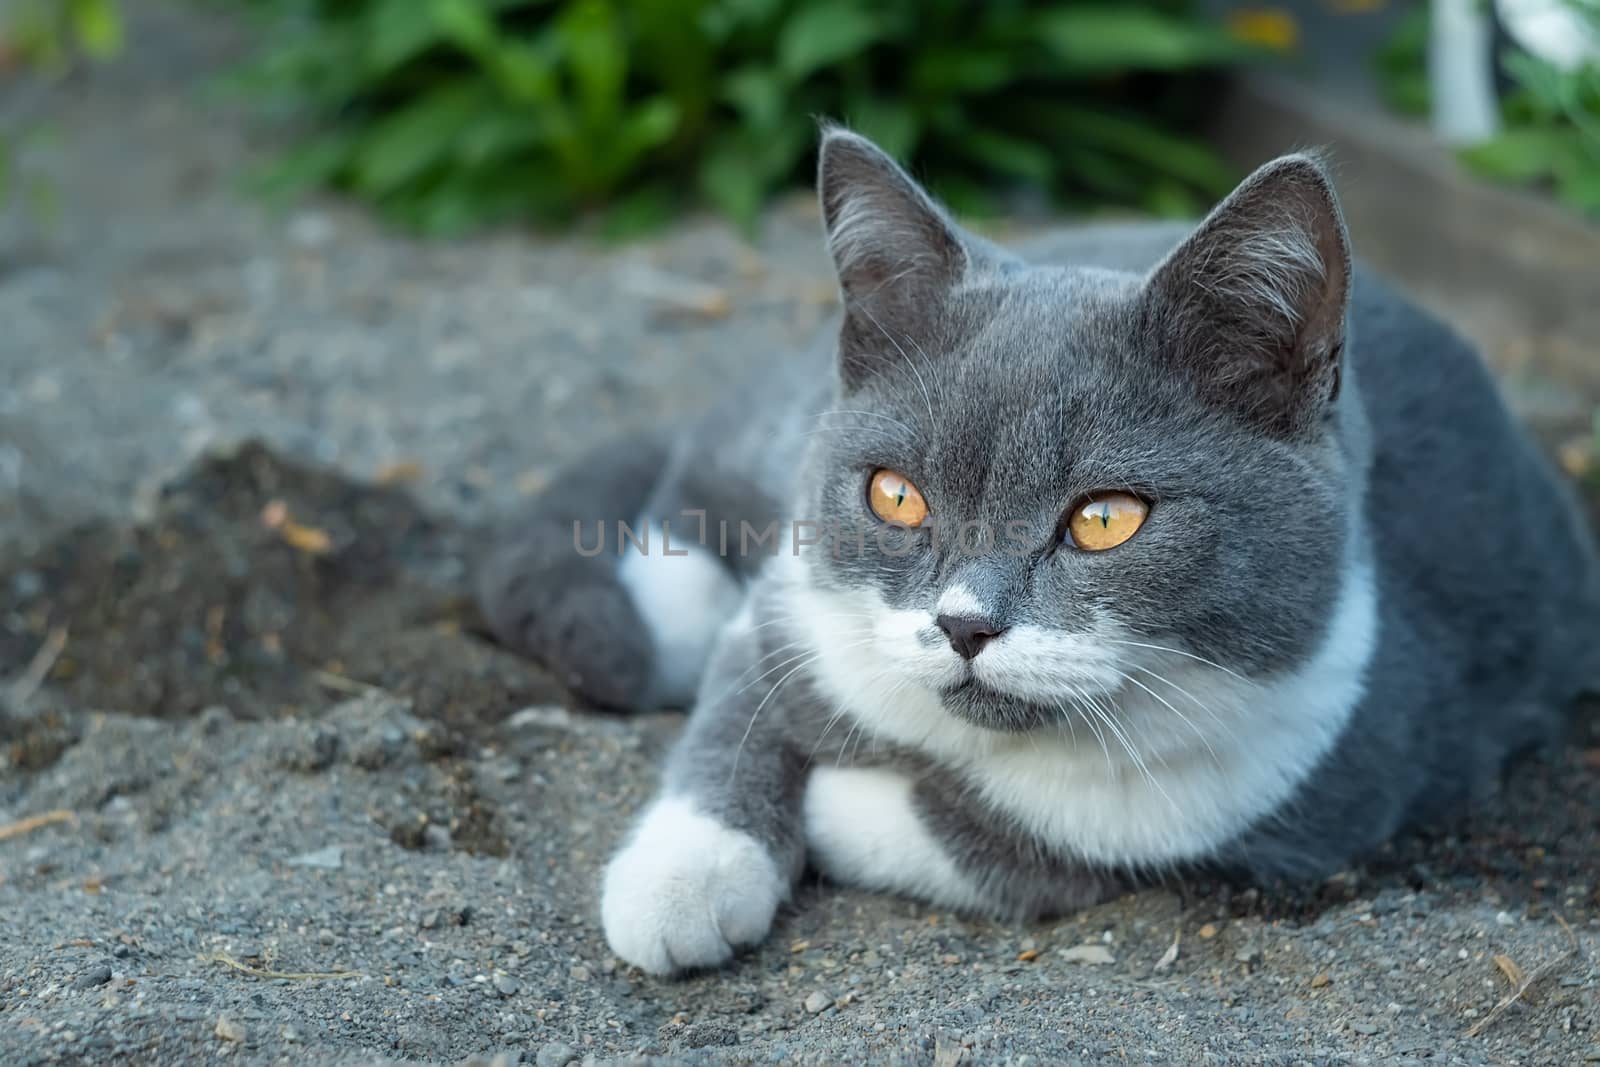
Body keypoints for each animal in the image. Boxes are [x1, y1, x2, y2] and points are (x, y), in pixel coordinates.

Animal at [476, 127, 1600, 979]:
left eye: (1105, 519)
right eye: (895, 494)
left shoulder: (1322, 779)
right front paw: (682, 878)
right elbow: (733, 709)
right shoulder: (797, 608)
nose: (963, 622)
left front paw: (839, 805)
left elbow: (1010, 845)